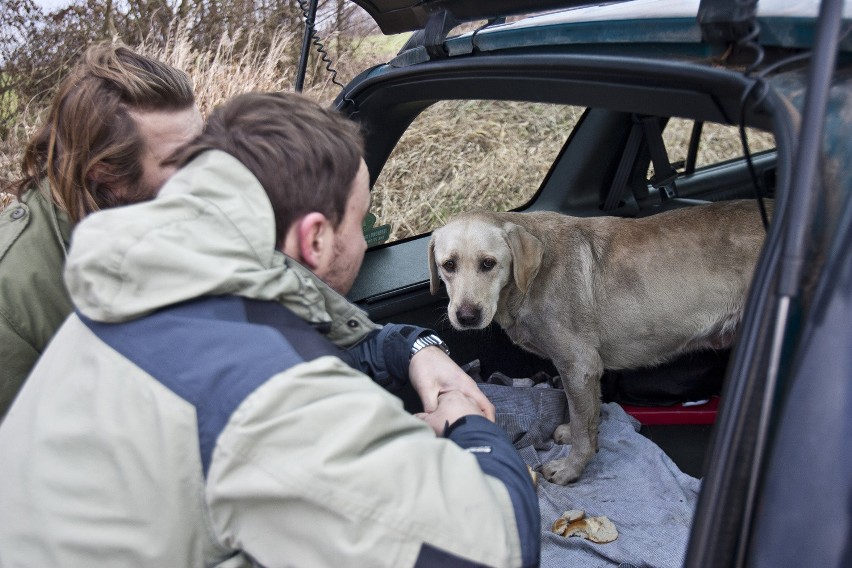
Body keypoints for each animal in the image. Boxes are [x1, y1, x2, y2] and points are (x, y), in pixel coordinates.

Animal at [432, 200, 772, 484]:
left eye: (488, 264)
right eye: (448, 265)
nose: (466, 316)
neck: (530, 278)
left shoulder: (579, 366)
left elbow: (583, 426)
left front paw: (571, 468)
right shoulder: (582, 372)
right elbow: (584, 415)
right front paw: (572, 433)